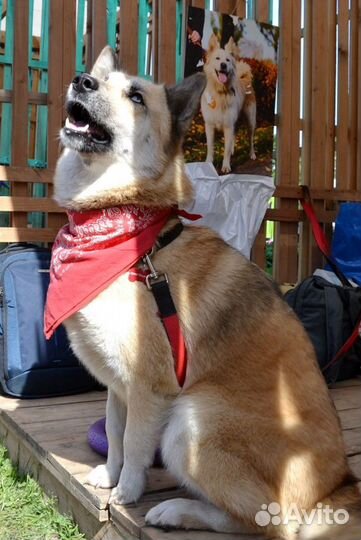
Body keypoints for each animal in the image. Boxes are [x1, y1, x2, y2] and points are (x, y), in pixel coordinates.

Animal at [200, 34, 256, 173]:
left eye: (228, 60)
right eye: (217, 58)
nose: (223, 65)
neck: (220, 92)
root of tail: (244, 77)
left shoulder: (228, 126)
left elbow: (225, 149)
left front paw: (226, 166)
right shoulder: (209, 126)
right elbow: (210, 147)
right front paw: (208, 163)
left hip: (250, 120)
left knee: (251, 138)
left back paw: (252, 154)